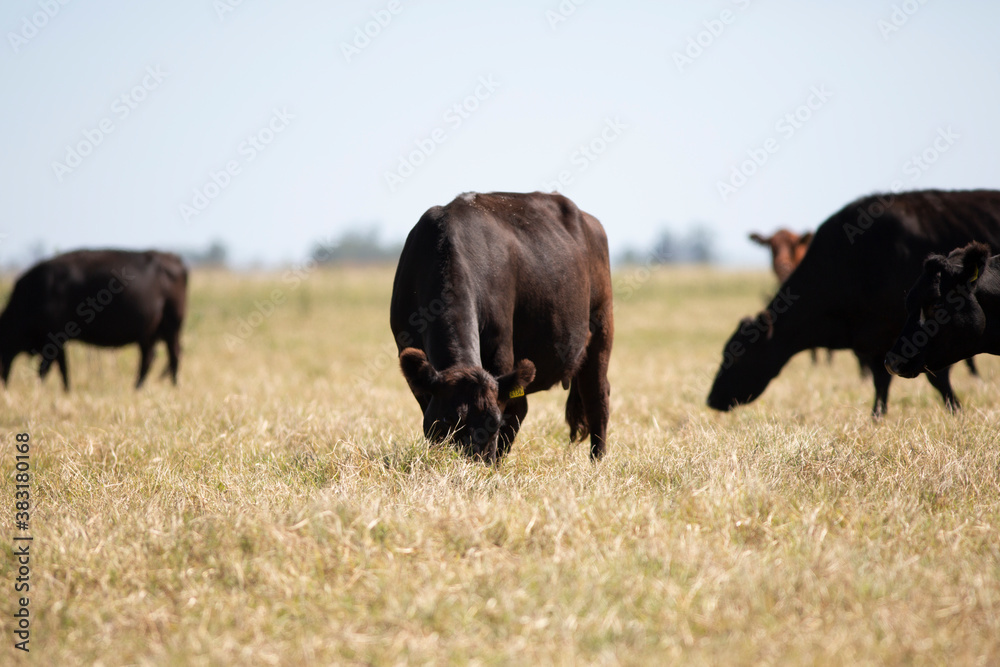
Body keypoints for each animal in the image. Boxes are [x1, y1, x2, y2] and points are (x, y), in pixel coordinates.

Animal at [0, 249, 189, 392]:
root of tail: (173, 258)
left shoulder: (55, 338)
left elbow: (51, 368)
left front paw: (50, 389)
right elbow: (60, 368)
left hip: (171, 326)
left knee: (173, 355)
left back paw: (172, 386)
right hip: (149, 332)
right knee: (148, 358)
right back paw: (138, 387)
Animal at [388, 190, 608, 464]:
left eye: (493, 424)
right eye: (447, 421)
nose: (473, 465)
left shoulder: (501, 349)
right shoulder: (406, 349)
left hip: (601, 327)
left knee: (597, 397)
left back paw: (598, 461)